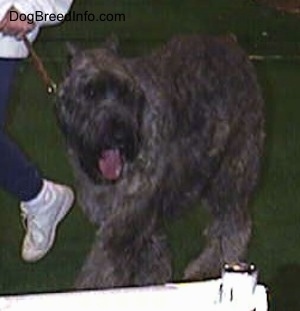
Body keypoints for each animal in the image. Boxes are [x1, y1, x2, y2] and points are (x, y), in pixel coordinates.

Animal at [55, 35, 264, 292]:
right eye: (90, 92)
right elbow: (153, 256)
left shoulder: (129, 216)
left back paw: (209, 266)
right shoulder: (140, 215)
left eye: (126, 92)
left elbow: (104, 267)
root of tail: (230, 43)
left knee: (232, 223)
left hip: (231, 174)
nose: (120, 136)